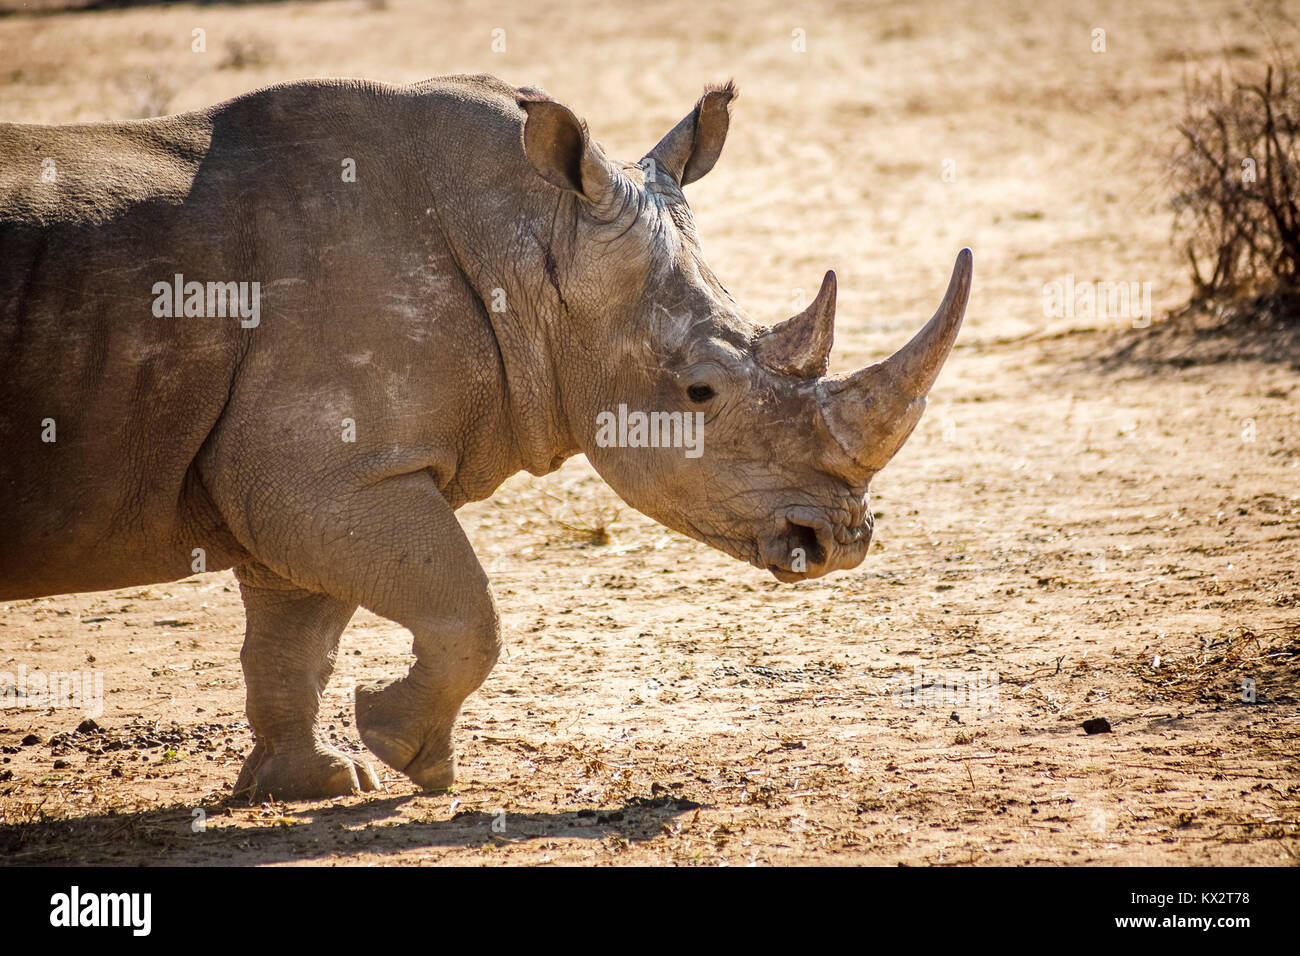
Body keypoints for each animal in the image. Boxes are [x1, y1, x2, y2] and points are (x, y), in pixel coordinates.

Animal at [0, 76, 967, 801]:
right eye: (700, 392)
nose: (842, 540)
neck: (530, 240)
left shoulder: (305, 478)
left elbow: (295, 635)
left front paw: (316, 782)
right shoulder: (329, 474)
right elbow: (468, 611)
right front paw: (409, 755)